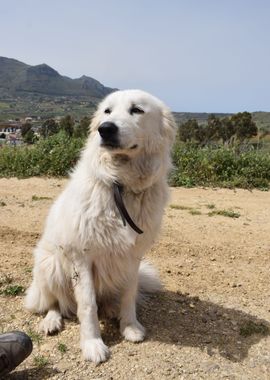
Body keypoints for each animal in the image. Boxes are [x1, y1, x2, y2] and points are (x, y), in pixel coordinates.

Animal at [25, 88, 176, 362]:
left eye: (137, 110)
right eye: (107, 111)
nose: (105, 129)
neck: (121, 185)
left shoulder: (133, 256)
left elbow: (129, 295)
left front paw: (130, 326)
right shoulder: (81, 258)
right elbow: (87, 305)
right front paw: (92, 344)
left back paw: (111, 311)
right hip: (50, 264)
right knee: (54, 302)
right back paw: (51, 321)